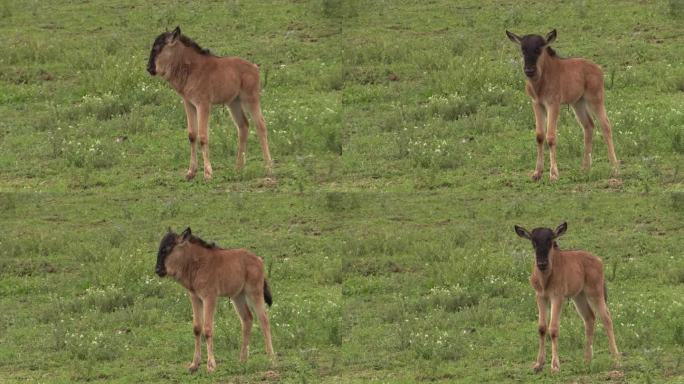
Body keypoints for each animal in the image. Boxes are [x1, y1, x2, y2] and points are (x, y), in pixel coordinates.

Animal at [147, 27, 272, 180]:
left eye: (158, 47)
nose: (149, 68)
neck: (191, 68)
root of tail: (255, 68)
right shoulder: (189, 104)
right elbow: (192, 135)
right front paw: (190, 172)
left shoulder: (203, 105)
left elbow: (203, 136)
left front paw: (207, 173)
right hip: (234, 103)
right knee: (243, 126)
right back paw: (238, 168)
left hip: (251, 99)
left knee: (261, 125)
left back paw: (269, 167)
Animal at [156, 228, 274, 372]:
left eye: (167, 249)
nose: (158, 270)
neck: (196, 264)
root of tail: (258, 260)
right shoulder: (195, 297)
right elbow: (197, 328)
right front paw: (194, 364)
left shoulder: (209, 298)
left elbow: (207, 329)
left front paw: (211, 365)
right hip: (237, 296)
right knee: (247, 319)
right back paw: (242, 359)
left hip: (254, 292)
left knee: (264, 319)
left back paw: (271, 358)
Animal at [504, 29, 616, 181]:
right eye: (523, 49)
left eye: (539, 49)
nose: (529, 70)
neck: (540, 83)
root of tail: (599, 69)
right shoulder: (537, 104)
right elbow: (539, 135)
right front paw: (537, 173)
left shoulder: (553, 104)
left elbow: (551, 136)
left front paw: (554, 174)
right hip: (578, 102)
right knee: (588, 125)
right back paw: (585, 167)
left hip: (595, 98)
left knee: (605, 125)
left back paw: (615, 168)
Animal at [512, 222, 620, 372]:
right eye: (533, 242)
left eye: (550, 241)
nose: (542, 263)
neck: (545, 279)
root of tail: (599, 261)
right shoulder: (540, 296)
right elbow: (542, 327)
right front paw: (538, 364)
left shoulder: (557, 297)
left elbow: (553, 328)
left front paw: (555, 366)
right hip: (579, 296)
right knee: (589, 317)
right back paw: (587, 360)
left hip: (595, 292)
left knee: (606, 318)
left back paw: (616, 360)